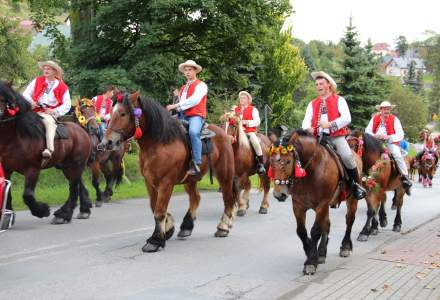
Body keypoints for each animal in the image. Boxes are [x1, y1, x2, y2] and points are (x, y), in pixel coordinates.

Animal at [0, 81, 92, 224]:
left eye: (4, 99)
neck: (15, 137)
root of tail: (81, 130)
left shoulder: (32, 170)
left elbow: (27, 195)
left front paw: (42, 210)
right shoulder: (6, 169)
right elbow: (7, 192)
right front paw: (7, 217)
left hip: (76, 165)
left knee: (73, 188)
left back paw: (63, 214)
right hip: (67, 167)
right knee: (78, 184)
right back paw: (84, 210)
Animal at [98, 92, 239, 252]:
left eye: (123, 113)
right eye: (111, 112)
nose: (106, 142)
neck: (159, 143)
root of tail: (224, 134)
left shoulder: (166, 183)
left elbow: (159, 211)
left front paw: (155, 240)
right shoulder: (150, 182)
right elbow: (154, 207)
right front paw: (168, 227)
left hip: (224, 174)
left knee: (228, 199)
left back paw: (223, 227)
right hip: (190, 180)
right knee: (195, 198)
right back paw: (186, 227)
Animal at [268, 130, 360, 276]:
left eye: (288, 161)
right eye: (271, 161)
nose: (279, 194)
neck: (312, 170)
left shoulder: (321, 204)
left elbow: (315, 230)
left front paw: (311, 261)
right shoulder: (298, 205)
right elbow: (301, 231)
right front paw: (311, 253)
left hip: (351, 200)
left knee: (349, 220)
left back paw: (345, 246)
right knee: (327, 224)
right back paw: (322, 252)